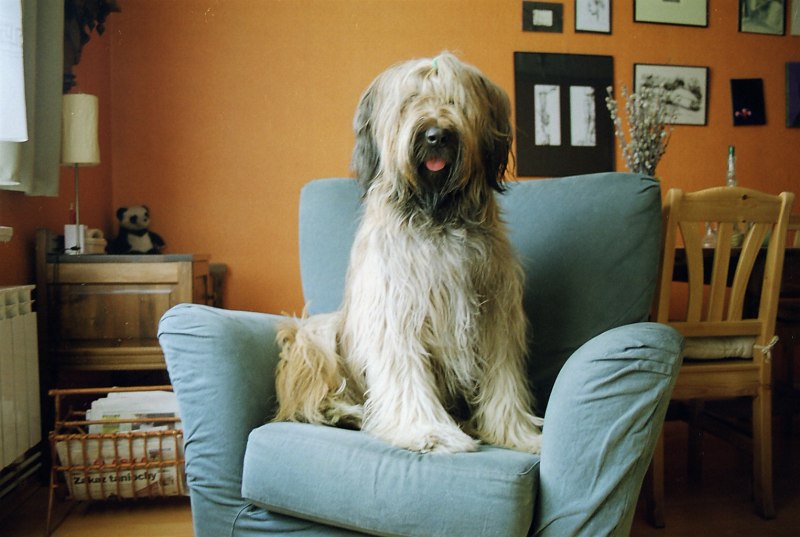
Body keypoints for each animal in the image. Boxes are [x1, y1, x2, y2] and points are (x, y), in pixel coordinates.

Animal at [274, 52, 543, 454]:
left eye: (454, 101)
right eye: (410, 101)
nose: (436, 135)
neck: (437, 215)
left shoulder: (496, 316)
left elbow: (503, 379)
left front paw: (516, 434)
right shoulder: (396, 312)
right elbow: (406, 375)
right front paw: (428, 432)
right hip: (313, 335)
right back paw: (346, 412)